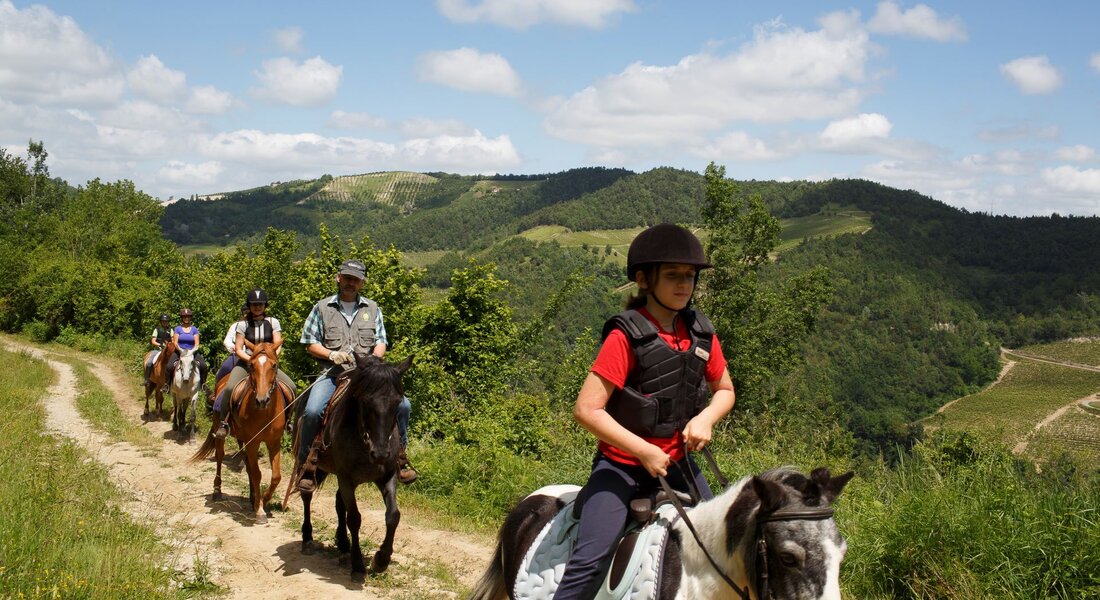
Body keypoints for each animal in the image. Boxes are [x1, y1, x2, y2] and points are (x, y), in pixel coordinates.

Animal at [190, 339, 294, 521]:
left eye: (274, 365)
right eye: (251, 365)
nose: (262, 400)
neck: (264, 412)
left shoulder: (274, 443)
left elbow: (275, 476)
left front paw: (264, 500)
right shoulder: (253, 442)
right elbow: (257, 473)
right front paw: (260, 510)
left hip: (242, 438)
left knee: (247, 462)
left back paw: (253, 496)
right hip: (221, 431)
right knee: (220, 457)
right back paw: (217, 491)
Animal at [286, 352, 413, 576]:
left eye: (397, 401)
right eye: (366, 400)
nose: (380, 453)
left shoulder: (387, 475)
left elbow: (393, 515)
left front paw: (381, 560)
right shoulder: (346, 477)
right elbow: (354, 518)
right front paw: (358, 566)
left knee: (339, 504)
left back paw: (344, 547)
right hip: (312, 467)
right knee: (307, 496)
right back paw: (308, 539)